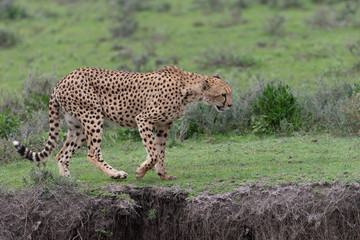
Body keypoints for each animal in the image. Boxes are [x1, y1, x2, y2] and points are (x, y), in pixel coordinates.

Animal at [12, 65, 232, 180]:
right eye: (223, 94)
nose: (230, 105)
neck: (187, 88)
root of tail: (62, 79)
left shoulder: (163, 125)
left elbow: (160, 152)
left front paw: (162, 174)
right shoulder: (144, 119)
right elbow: (153, 153)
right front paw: (141, 171)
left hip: (78, 126)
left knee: (61, 153)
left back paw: (67, 179)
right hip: (93, 116)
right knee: (92, 153)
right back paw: (115, 173)